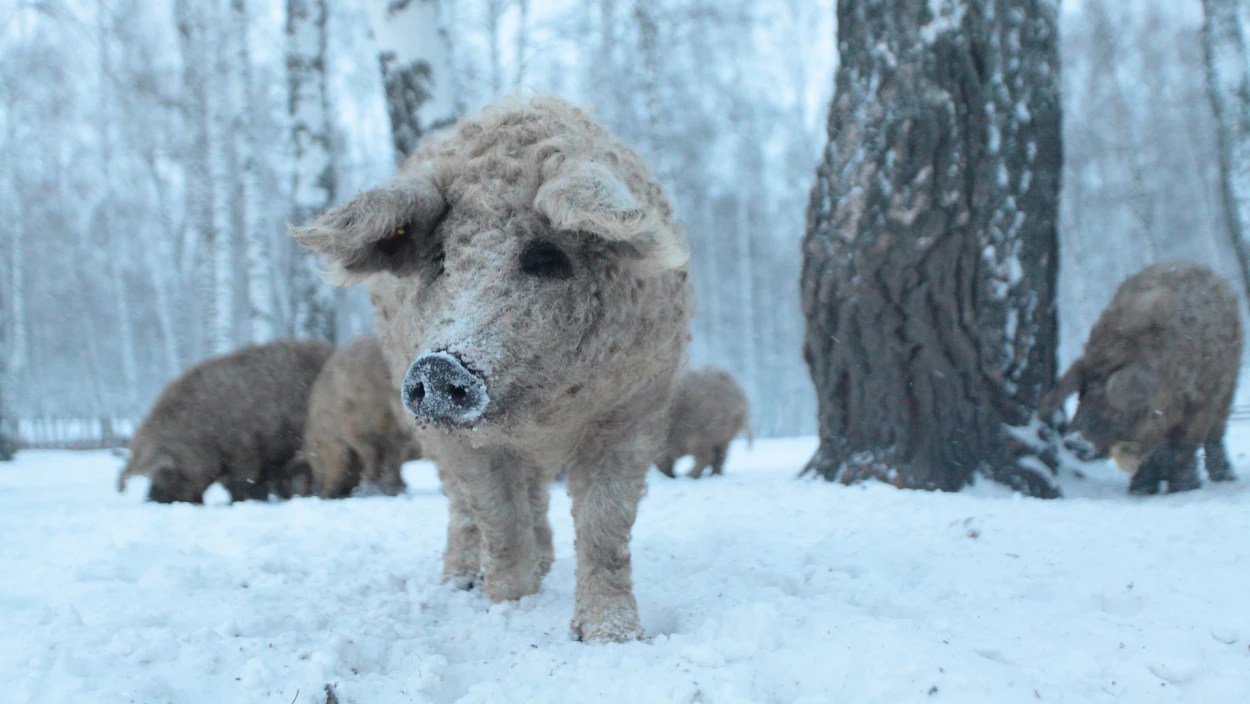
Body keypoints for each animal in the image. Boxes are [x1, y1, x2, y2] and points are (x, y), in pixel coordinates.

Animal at [300, 335, 422, 495]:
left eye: (316, 458)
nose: (318, 491)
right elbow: (388, 455)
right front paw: (391, 485)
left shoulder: (356, 427)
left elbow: (377, 455)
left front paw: (373, 485)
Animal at [1045, 260, 1240, 495]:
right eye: (1082, 394)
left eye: (1115, 410)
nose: (1075, 442)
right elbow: (1152, 449)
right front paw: (1140, 490)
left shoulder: (1200, 401)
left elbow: (1184, 445)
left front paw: (1183, 489)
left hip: (1228, 384)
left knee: (1216, 433)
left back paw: (1225, 477)